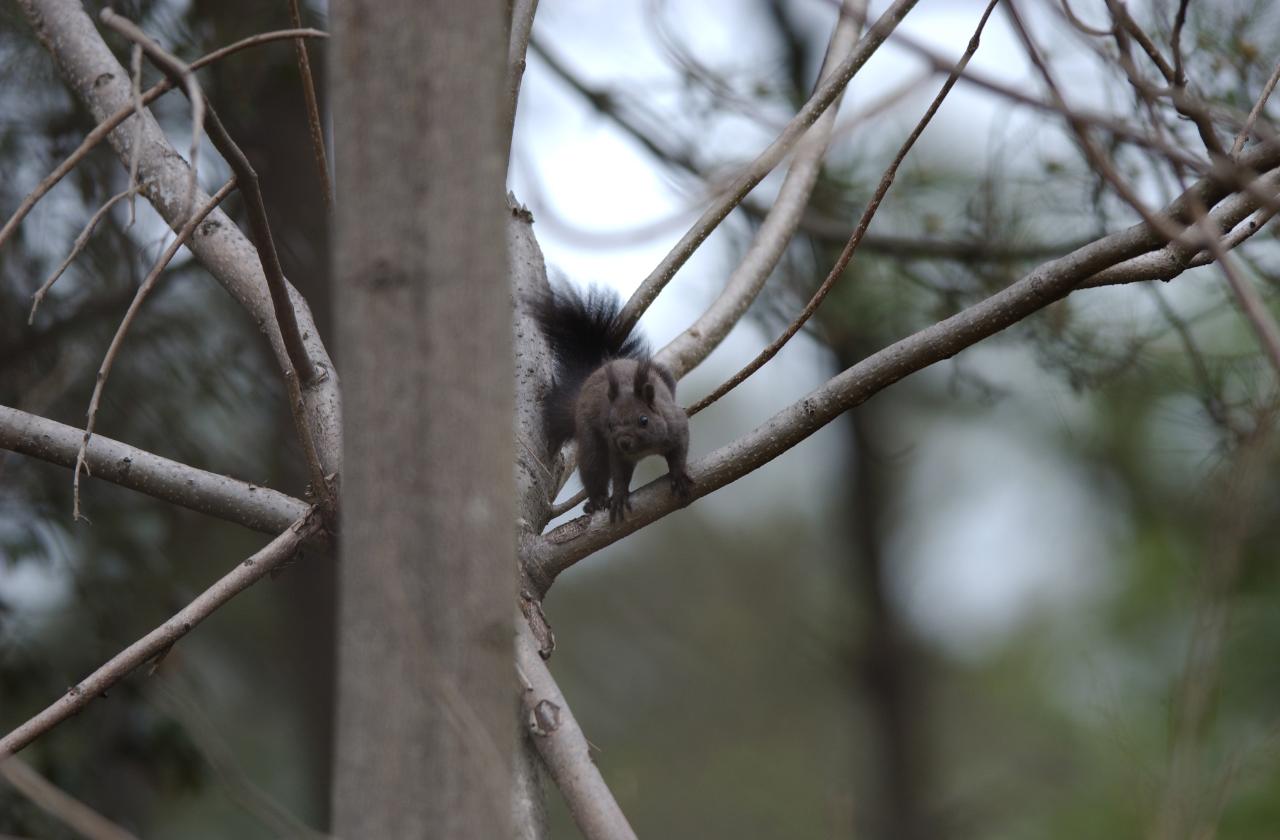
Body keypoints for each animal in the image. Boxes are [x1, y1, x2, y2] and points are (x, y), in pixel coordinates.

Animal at [529, 285, 691, 522]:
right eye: (610, 425)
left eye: (644, 420)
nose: (623, 441)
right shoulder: (615, 451)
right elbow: (619, 474)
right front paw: (620, 496)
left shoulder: (676, 425)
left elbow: (679, 452)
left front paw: (678, 475)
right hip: (589, 439)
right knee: (594, 467)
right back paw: (597, 501)